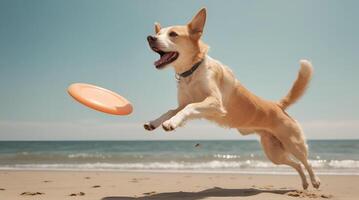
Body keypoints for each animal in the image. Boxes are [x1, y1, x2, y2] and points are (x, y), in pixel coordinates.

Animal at [143, 7, 320, 189]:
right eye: (158, 33)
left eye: (173, 34)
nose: (150, 38)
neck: (192, 71)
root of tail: (278, 105)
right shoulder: (185, 104)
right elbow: (173, 110)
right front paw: (154, 122)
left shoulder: (214, 103)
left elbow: (189, 108)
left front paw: (170, 123)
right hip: (274, 154)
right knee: (296, 164)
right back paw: (305, 183)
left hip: (294, 144)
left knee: (306, 162)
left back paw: (314, 181)